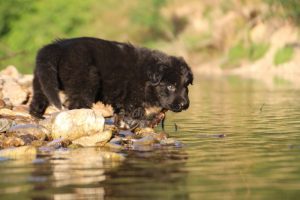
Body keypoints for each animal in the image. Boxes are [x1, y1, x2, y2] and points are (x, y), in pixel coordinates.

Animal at [29, 37, 193, 122]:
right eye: (171, 86)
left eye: (186, 86)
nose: (184, 104)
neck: (145, 75)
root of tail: (58, 46)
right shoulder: (133, 97)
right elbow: (135, 109)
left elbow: (120, 108)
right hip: (87, 80)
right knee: (77, 104)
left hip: (42, 80)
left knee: (38, 99)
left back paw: (37, 116)